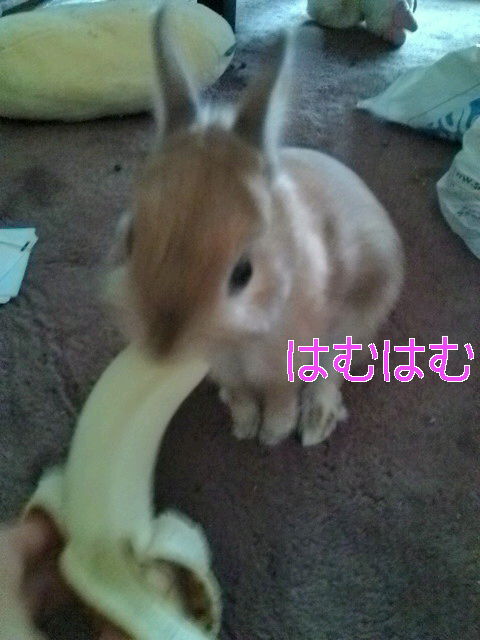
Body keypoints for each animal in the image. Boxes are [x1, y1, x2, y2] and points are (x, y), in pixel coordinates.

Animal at [105, 6, 404, 447]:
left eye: (244, 273)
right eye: (130, 241)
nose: (162, 348)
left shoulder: (289, 358)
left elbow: (281, 394)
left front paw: (273, 433)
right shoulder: (227, 367)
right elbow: (243, 392)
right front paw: (244, 424)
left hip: (361, 313)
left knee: (333, 372)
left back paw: (315, 422)